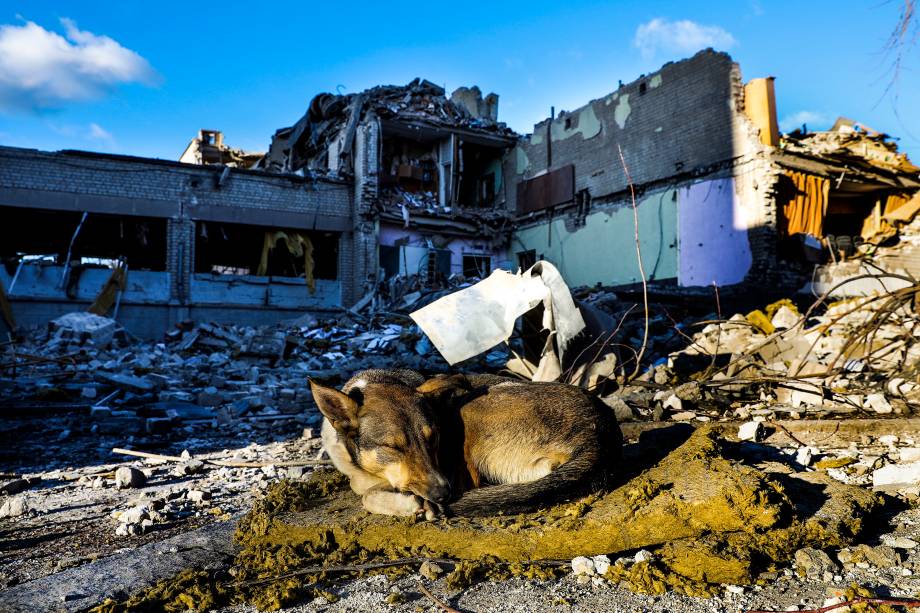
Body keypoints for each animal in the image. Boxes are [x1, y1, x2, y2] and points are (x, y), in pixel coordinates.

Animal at [308, 368, 620, 516]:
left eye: (434, 438)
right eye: (392, 447)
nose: (443, 494)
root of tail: (602, 433)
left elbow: (368, 495)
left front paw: (408, 504)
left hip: (471, 409)